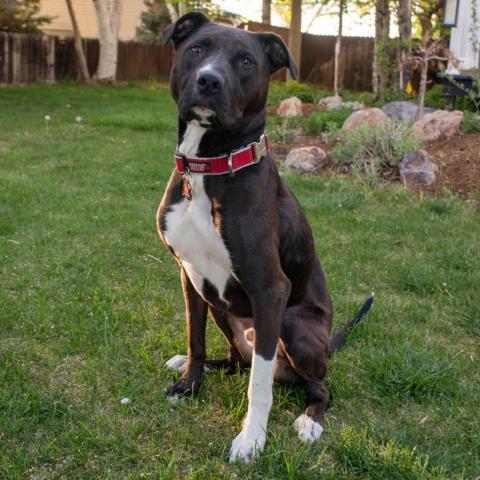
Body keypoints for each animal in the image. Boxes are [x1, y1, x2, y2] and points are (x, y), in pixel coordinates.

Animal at [159, 12, 374, 462]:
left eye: (245, 61)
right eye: (197, 49)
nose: (209, 81)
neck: (209, 167)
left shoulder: (270, 291)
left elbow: (259, 386)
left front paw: (251, 439)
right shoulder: (190, 276)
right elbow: (195, 338)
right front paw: (189, 385)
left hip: (293, 326)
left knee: (315, 386)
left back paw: (310, 420)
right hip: (222, 310)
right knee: (237, 361)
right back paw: (192, 365)